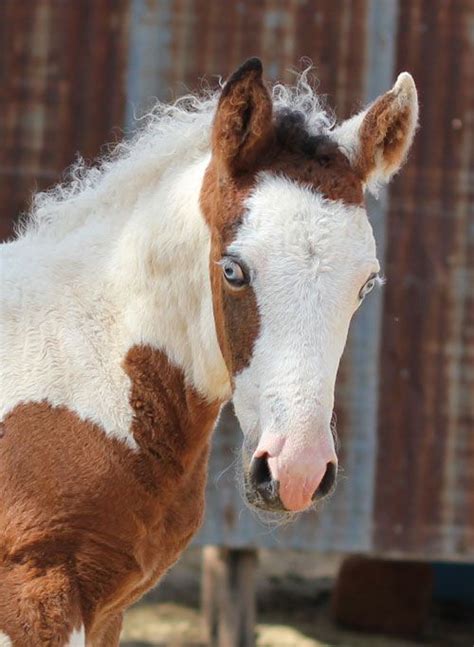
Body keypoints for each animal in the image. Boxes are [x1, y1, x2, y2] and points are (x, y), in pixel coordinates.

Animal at [0, 58, 416, 644]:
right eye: (233, 270)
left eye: (366, 284)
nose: (297, 471)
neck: (80, 362)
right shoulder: (34, 596)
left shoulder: (105, 612)